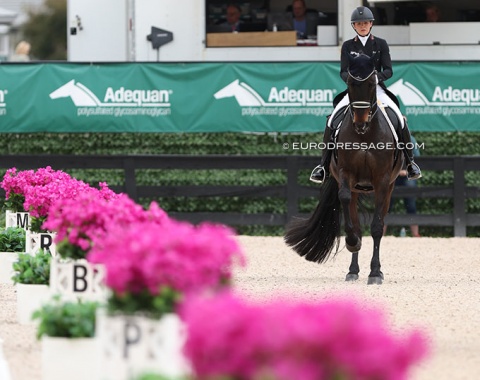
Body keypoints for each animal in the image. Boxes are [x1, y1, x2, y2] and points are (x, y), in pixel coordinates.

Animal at [284, 53, 404, 284]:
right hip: (356, 187)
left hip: (390, 187)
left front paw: (375, 273)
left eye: (371, 83)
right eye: (349, 83)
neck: (365, 134)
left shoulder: (383, 181)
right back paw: (353, 270)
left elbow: (377, 227)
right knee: (354, 218)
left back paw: (375, 271)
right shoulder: (346, 176)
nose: (360, 123)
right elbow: (349, 211)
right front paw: (352, 243)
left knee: (380, 222)